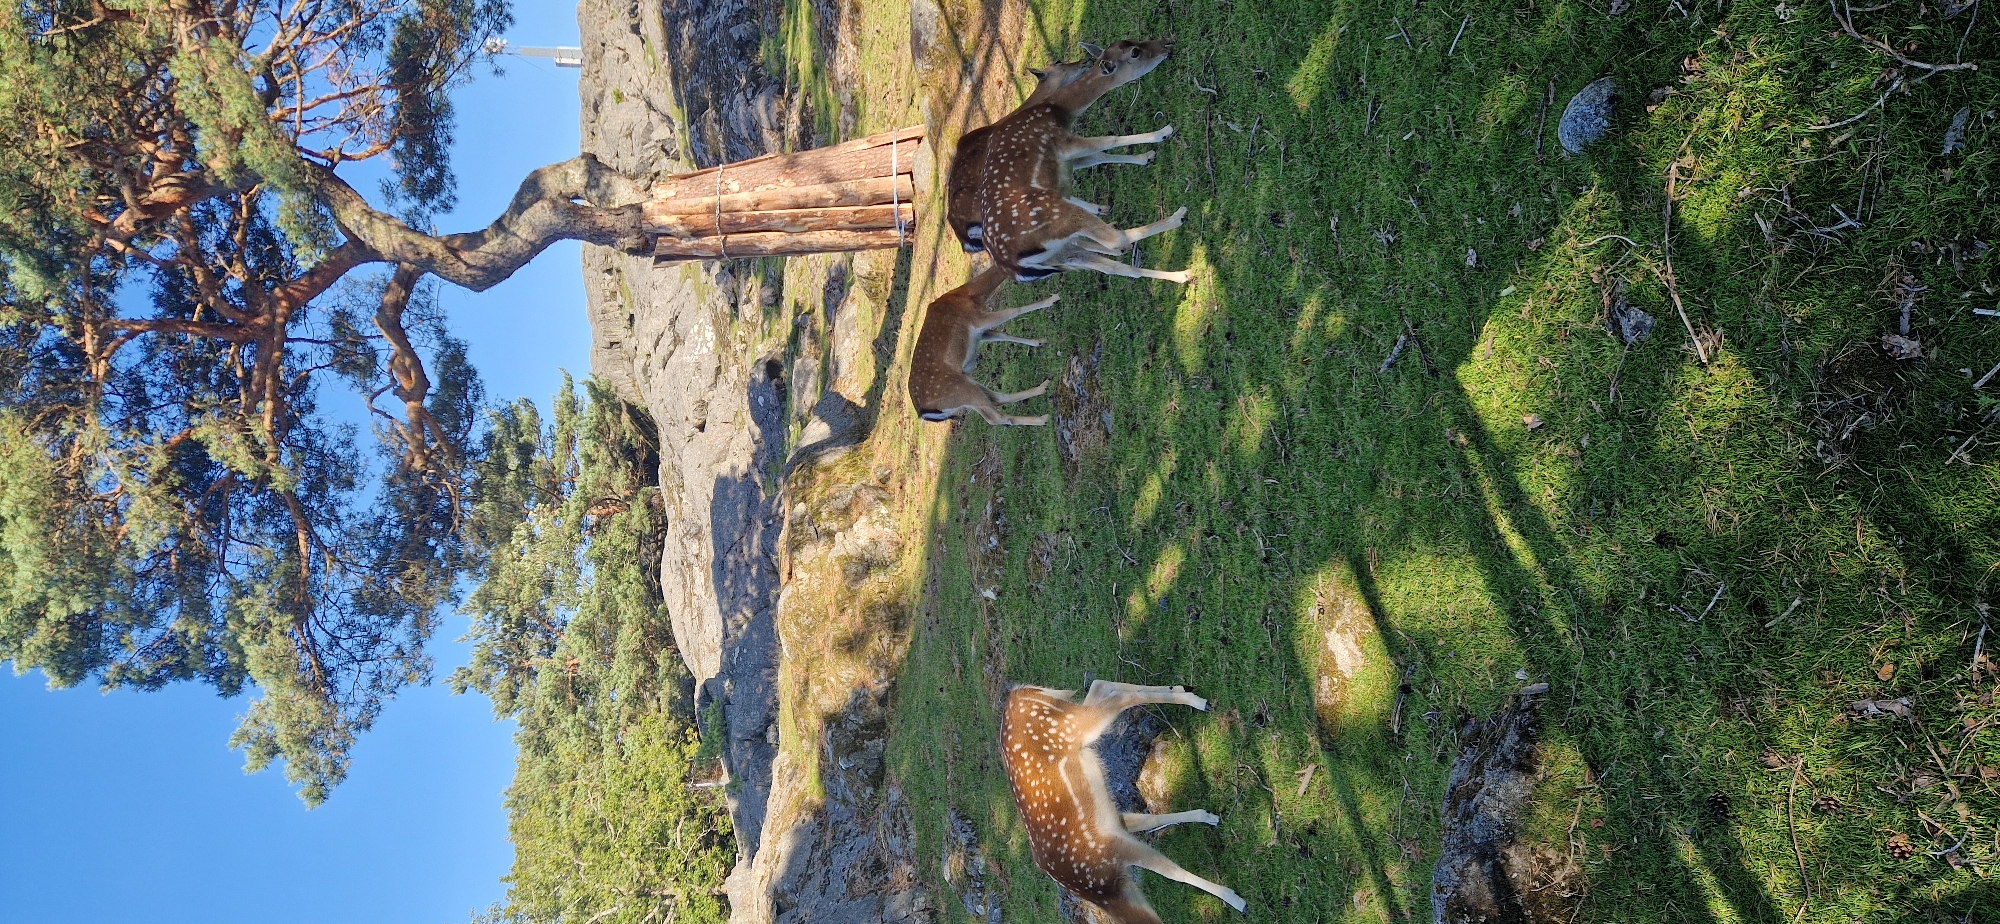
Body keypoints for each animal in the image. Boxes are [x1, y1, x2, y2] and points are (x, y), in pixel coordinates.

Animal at [908, 265, 1057, 426]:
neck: (972, 296)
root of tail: (923, 413)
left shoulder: (978, 334)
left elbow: (1003, 335)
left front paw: (1039, 341)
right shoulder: (978, 319)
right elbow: (1014, 311)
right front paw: (1052, 299)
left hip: (966, 382)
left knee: (997, 399)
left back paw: (1042, 388)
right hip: (959, 390)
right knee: (995, 418)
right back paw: (1043, 418)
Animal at [974, 39, 1193, 284]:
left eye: (1130, 41)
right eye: (1135, 52)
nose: (1165, 45)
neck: (1060, 111)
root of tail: (1013, 267)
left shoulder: (1066, 161)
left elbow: (1099, 155)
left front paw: (1146, 156)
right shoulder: (1061, 141)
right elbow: (1109, 140)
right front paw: (1163, 132)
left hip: (1063, 253)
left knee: (1112, 264)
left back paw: (1182, 274)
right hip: (1061, 217)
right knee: (1117, 239)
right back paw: (1177, 217)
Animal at [1001, 680, 1247, 924]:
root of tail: (1018, 693)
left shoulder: (1113, 848)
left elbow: (1173, 872)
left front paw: (1236, 900)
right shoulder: (1115, 825)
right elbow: (1151, 823)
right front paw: (1209, 816)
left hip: (1070, 725)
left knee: (1114, 695)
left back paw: (1197, 701)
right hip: (1071, 717)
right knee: (1100, 686)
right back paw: (1182, 690)